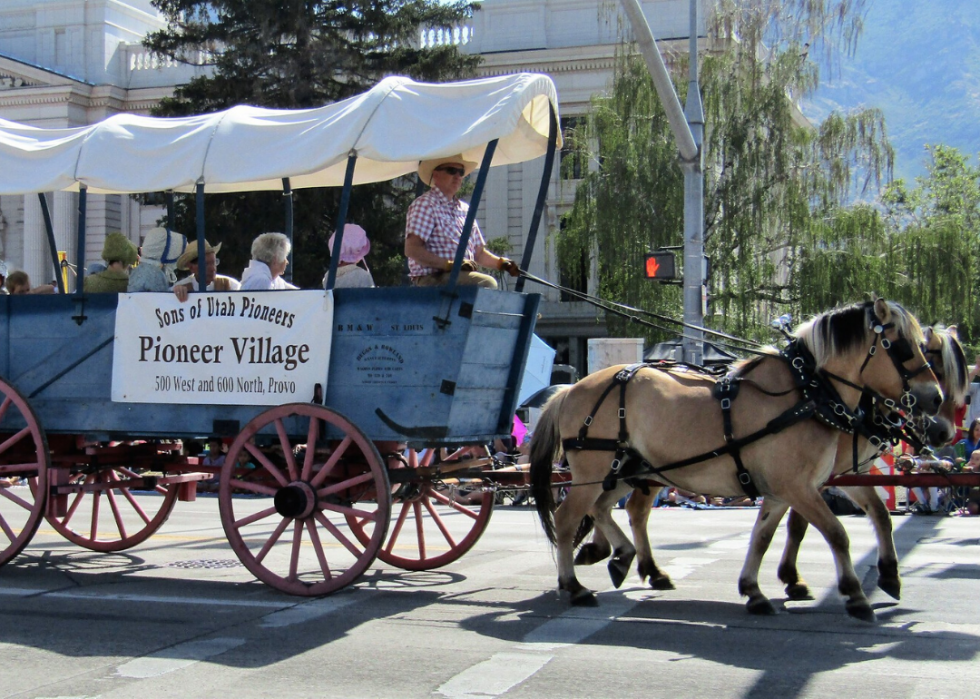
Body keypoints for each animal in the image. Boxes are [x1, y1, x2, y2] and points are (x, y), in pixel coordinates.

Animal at [532, 298, 944, 620]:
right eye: (902, 346)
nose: (936, 400)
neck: (809, 392)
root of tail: (570, 389)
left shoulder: (794, 487)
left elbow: (767, 536)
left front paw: (755, 589)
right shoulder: (798, 486)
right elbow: (836, 534)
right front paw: (855, 594)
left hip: (627, 469)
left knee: (608, 509)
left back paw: (624, 558)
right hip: (596, 468)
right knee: (568, 518)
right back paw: (575, 585)